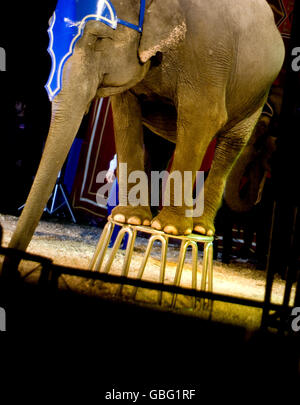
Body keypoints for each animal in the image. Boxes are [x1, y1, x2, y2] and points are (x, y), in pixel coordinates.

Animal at [4, 0, 284, 264]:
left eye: (99, 37)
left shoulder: (208, 55)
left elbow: (203, 116)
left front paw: (169, 228)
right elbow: (125, 115)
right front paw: (130, 219)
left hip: (257, 97)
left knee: (230, 145)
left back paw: (199, 229)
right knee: (159, 144)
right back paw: (148, 220)